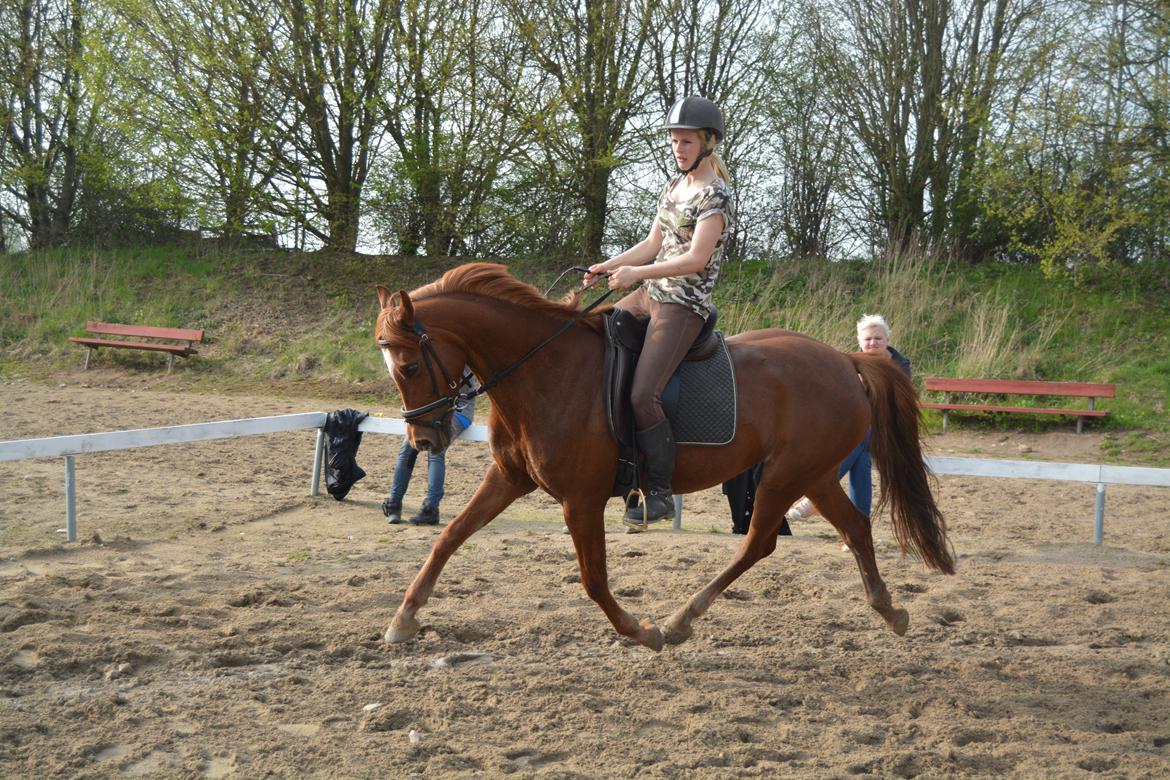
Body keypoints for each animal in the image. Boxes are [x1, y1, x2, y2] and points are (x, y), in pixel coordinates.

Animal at [374, 261, 950, 654]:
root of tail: (847, 360)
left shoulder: (581, 499)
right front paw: (403, 618)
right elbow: (450, 536)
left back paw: (678, 620)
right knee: (853, 526)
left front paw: (641, 631)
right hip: (815, 474)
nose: (423, 441)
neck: (545, 370)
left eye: (408, 366)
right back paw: (889, 610)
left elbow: (593, 578)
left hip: (785, 476)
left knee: (759, 542)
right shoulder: (509, 477)